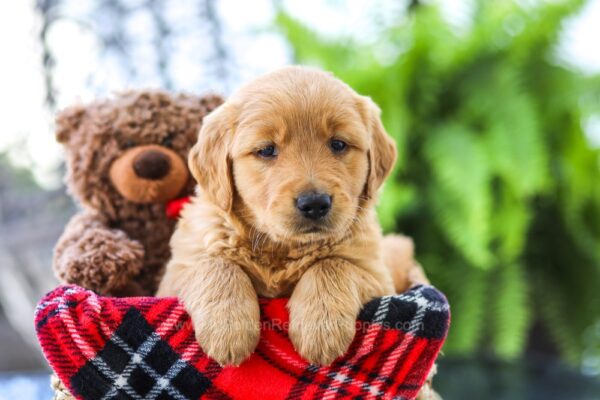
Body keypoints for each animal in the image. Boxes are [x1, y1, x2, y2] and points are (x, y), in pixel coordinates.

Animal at [157, 65, 424, 366]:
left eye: (339, 144)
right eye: (266, 150)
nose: (315, 203)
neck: (281, 248)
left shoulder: (378, 276)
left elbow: (332, 264)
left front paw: (320, 328)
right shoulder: (174, 275)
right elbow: (216, 264)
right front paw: (228, 328)